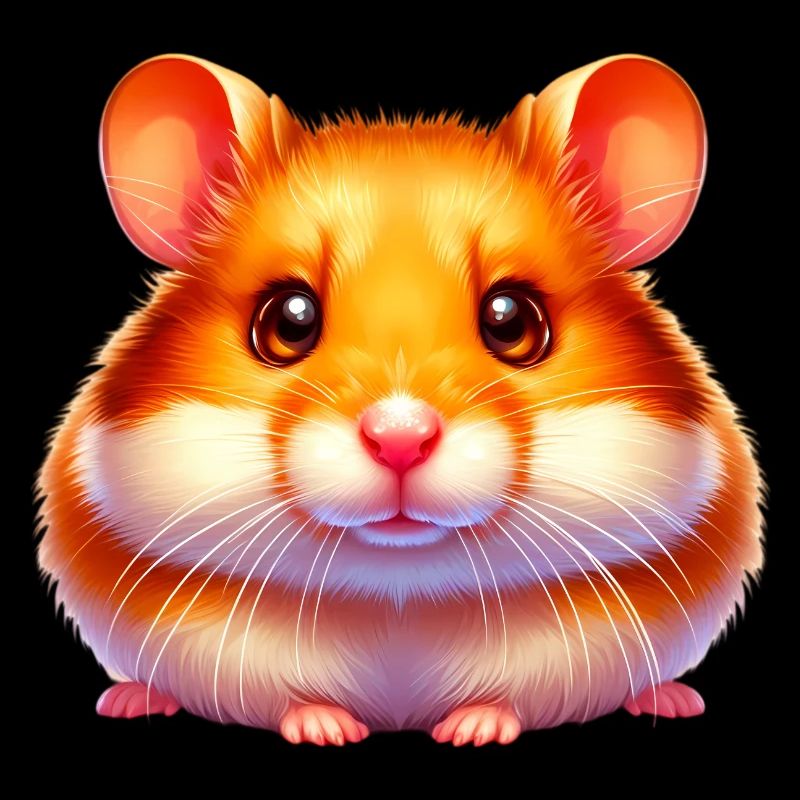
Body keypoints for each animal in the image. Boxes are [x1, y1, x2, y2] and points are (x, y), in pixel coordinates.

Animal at [36, 53, 764, 745]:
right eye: (288, 320)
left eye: (512, 321)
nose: (400, 438)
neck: (400, 595)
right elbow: (283, 700)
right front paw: (328, 732)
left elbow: (516, 700)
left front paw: (471, 732)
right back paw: (128, 699)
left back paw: (673, 699)